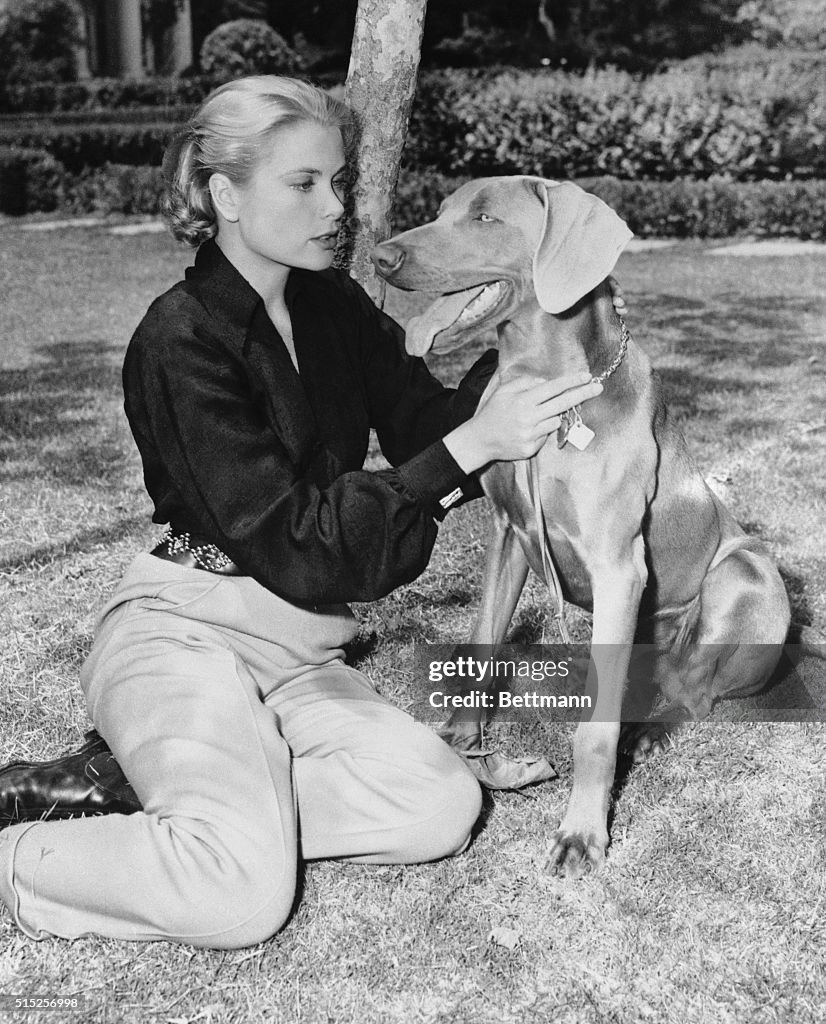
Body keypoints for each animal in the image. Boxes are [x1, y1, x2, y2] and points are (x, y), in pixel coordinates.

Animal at [370, 178, 790, 880]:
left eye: (485, 217)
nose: (379, 257)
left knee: (698, 693)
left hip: (742, 574)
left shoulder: (619, 567)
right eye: (444, 209)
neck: (545, 385)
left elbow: (594, 731)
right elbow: (483, 643)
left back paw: (649, 733)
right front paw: (463, 741)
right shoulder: (510, 535)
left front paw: (582, 833)